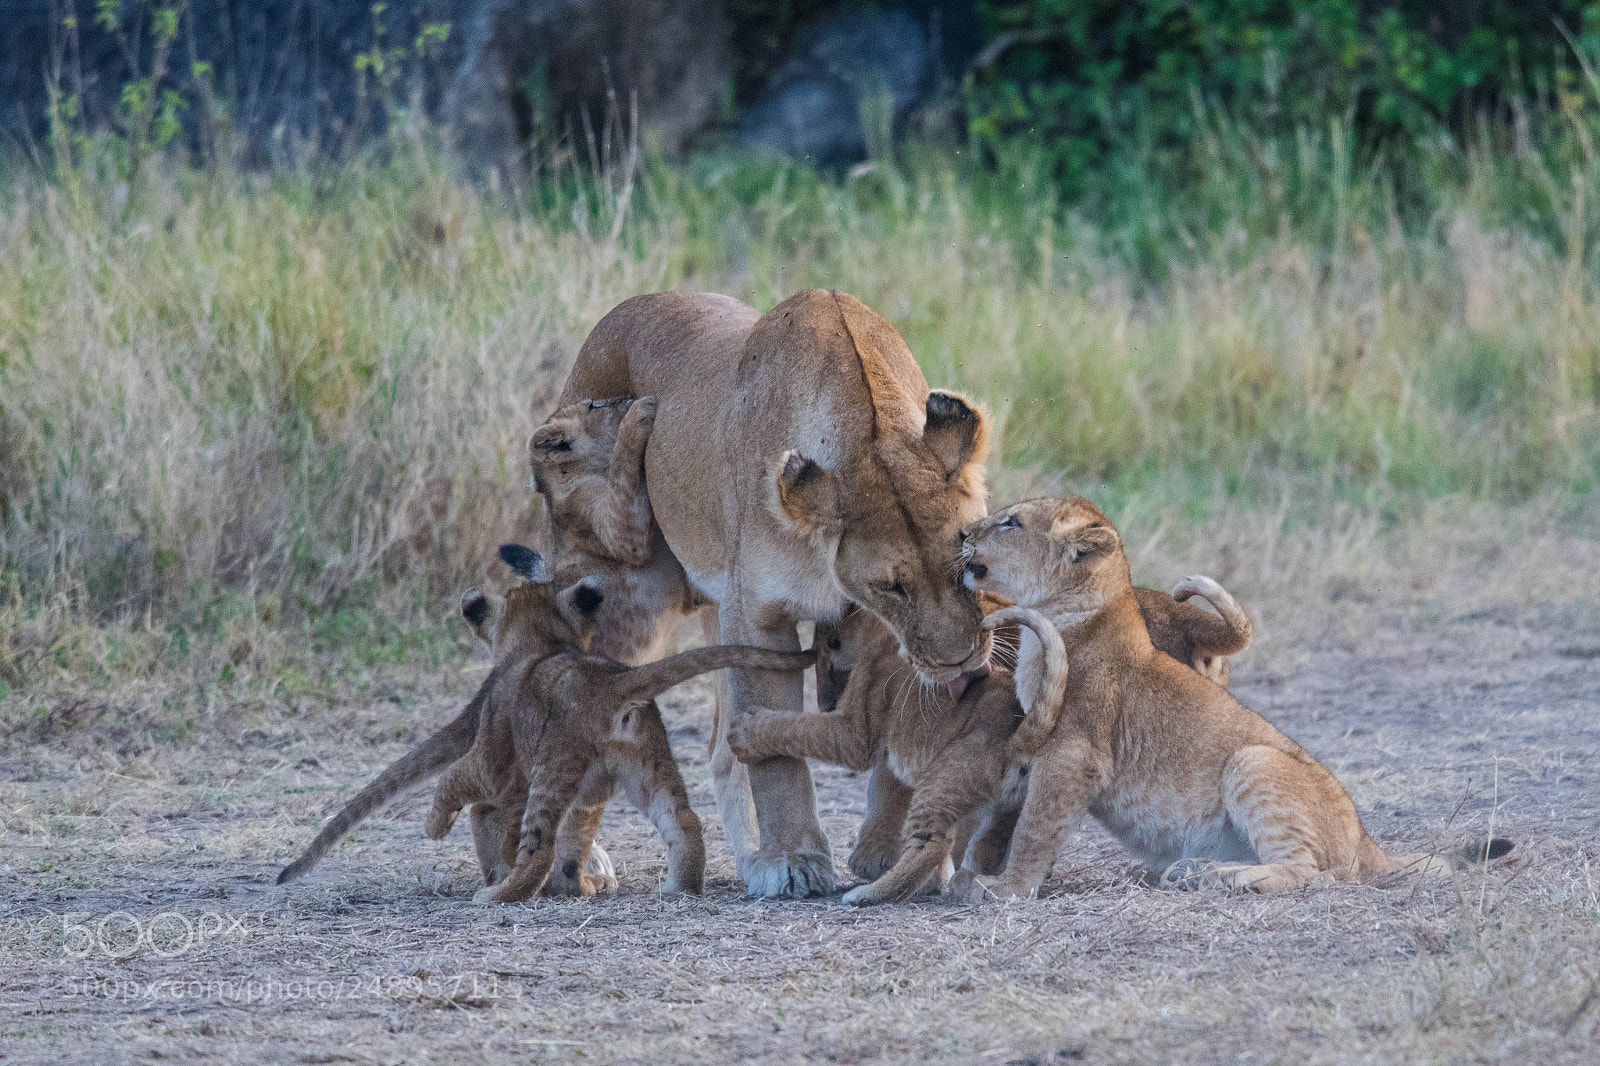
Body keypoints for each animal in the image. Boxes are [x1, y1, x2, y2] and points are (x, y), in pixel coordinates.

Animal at [277, 545, 814, 899]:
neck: (539, 643)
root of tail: (610, 684)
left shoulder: (491, 761)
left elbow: (454, 781)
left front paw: (434, 826)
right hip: (648, 764)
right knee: (683, 822)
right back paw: (677, 888)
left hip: (553, 769)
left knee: (537, 850)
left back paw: (496, 895)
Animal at [554, 289, 993, 897]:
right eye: (891, 587)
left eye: (970, 562)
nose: (960, 660)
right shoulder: (758, 615)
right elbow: (776, 753)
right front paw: (793, 860)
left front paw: (889, 854)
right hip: (627, 595)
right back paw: (585, 864)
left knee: (717, 751)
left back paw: (745, 860)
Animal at [956, 497, 1513, 899]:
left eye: (1011, 522)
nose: (962, 534)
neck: (1071, 620)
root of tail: (1366, 840)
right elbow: (1006, 820)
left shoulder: (1074, 752)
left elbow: (1036, 827)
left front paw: (1006, 887)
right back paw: (1193, 869)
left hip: (1255, 761)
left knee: (1310, 872)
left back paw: (1225, 877)